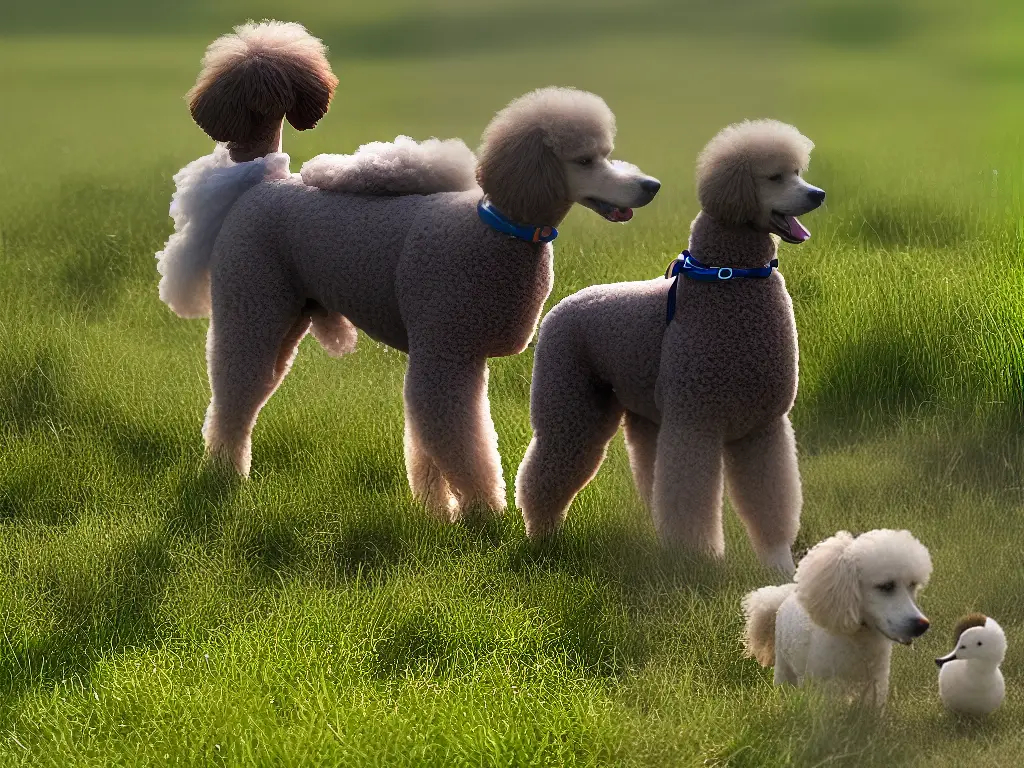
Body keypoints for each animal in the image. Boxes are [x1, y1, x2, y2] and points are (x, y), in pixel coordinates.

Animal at [741, 532, 933, 708]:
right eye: (886, 586)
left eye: (912, 586)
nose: (922, 625)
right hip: (784, 667)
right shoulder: (824, 687)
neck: (858, 639)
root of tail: (786, 595)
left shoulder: (876, 683)